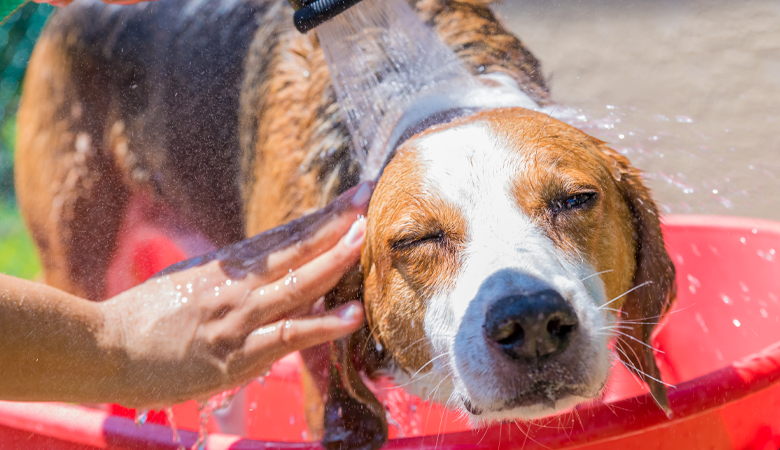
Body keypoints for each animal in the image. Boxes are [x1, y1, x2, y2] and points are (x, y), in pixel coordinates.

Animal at [16, 0, 676, 448]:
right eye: (416, 239)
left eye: (576, 199)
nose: (532, 322)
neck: (429, 100)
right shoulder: (321, 379)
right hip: (79, 253)